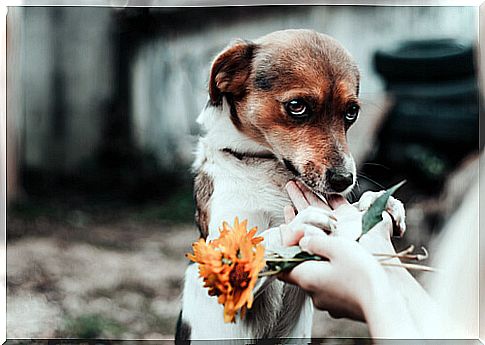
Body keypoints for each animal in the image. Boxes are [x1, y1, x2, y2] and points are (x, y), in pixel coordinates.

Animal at [177, 28, 404, 340]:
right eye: (297, 107)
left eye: (351, 112)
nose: (344, 180)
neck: (268, 169)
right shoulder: (221, 273)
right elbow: (258, 242)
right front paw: (297, 225)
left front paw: (376, 202)